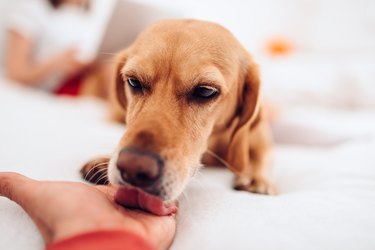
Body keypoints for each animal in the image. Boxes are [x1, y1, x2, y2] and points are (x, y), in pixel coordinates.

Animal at [81, 19, 276, 215]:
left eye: (206, 91)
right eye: (133, 82)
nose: (133, 167)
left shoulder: (260, 140)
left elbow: (259, 157)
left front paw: (255, 177)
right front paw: (104, 161)